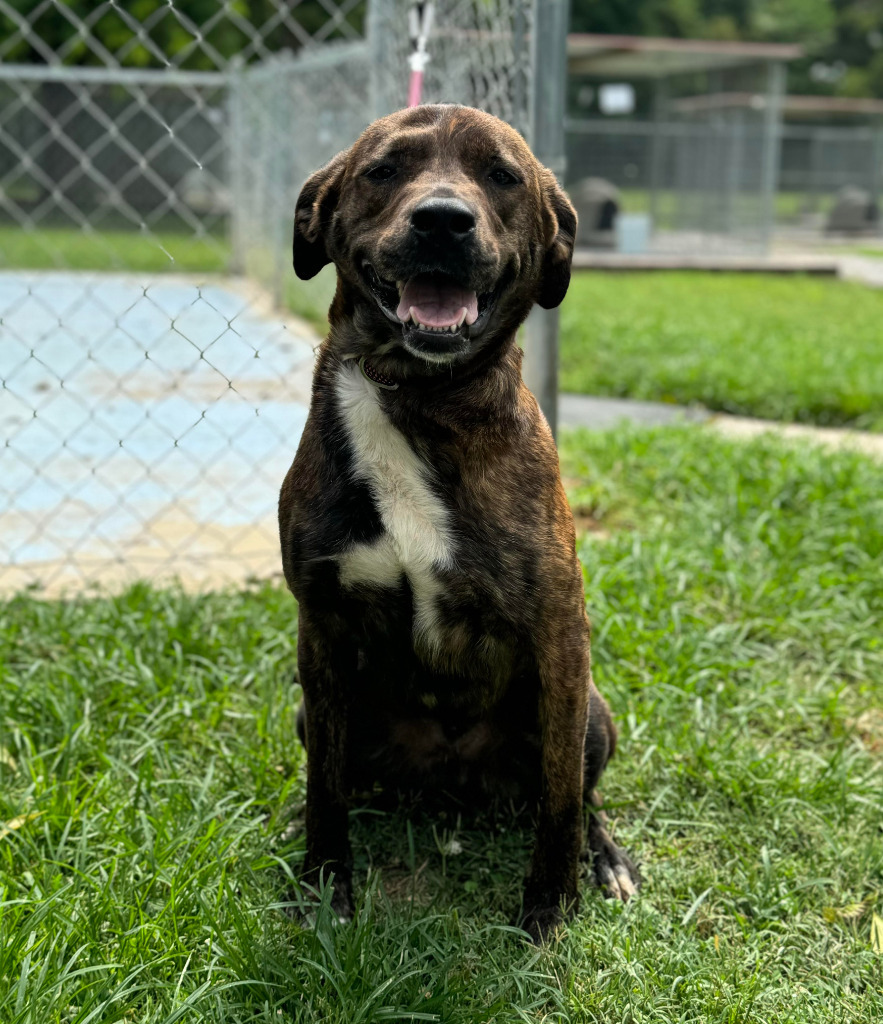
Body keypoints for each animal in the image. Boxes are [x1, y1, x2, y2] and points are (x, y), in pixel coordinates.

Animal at [280, 101, 639, 937]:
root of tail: (451, 782)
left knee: (581, 792)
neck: (414, 393)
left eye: (501, 175)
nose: (442, 220)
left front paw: (548, 906)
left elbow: (561, 803)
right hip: (315, 711)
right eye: (383, 169)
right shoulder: (322, 624)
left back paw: (605, 858)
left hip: (592, 712)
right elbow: (324, 791)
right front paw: (325, 885)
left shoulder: (557, 632)